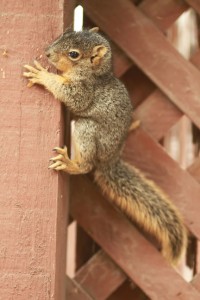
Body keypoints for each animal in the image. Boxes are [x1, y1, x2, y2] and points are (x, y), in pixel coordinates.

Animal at [23, 27, 188, 264]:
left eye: (74, 54)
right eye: (66, 32)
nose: (47, 53)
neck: (95, 73)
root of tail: (110, 160)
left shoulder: (84, 91)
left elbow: (72, 96)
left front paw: (43, 76)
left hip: (86, 130)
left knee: (86, 165)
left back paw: (71, 164)